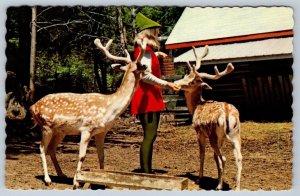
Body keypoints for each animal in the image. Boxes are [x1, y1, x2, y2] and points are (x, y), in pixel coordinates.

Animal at [29, 37, 147, 188]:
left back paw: (61, 174)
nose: (147, 68)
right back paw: (48, 179)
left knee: (51, 149)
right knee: (42, 148)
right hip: (46, 126)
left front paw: (104, 181)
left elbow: (102, 155)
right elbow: (82, 155)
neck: (110, 108)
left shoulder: (102, 132)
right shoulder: (86, 128)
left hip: (60, 131)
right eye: (141, 65)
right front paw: (76, 182)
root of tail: (33, 107)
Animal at [175, 45, 243, 190]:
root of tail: (227, 112)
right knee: (238, 158)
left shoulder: (199, 132)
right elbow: (214, 157)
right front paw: (217, 177)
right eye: (186, 75)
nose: (176, 83)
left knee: (224, 158)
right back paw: (236, 187)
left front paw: (199, 178)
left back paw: (219, 186)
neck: (196, 106)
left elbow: (202, 154)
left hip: (213, 135)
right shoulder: (221, 139)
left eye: (191, 82)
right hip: (236, 134)